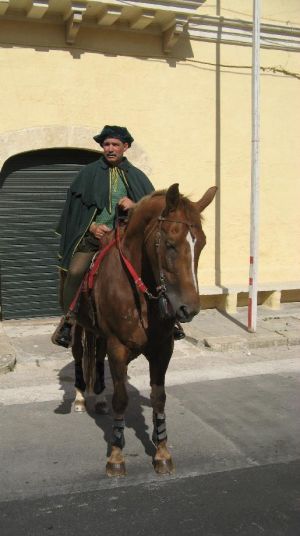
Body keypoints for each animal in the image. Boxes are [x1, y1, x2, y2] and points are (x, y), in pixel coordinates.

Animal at [71, 185, 216, 478]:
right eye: (170, 244)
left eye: (203, 244)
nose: (189, 309)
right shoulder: (118, 348)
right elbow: (121, 399)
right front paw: (116, 456)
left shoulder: (163, 348)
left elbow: (159, 398)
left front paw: (162, 452)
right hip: (80, 325)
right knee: (80, 353)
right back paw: (80, 398)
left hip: (99, 333)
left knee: (96, 356)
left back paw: (98, 399)